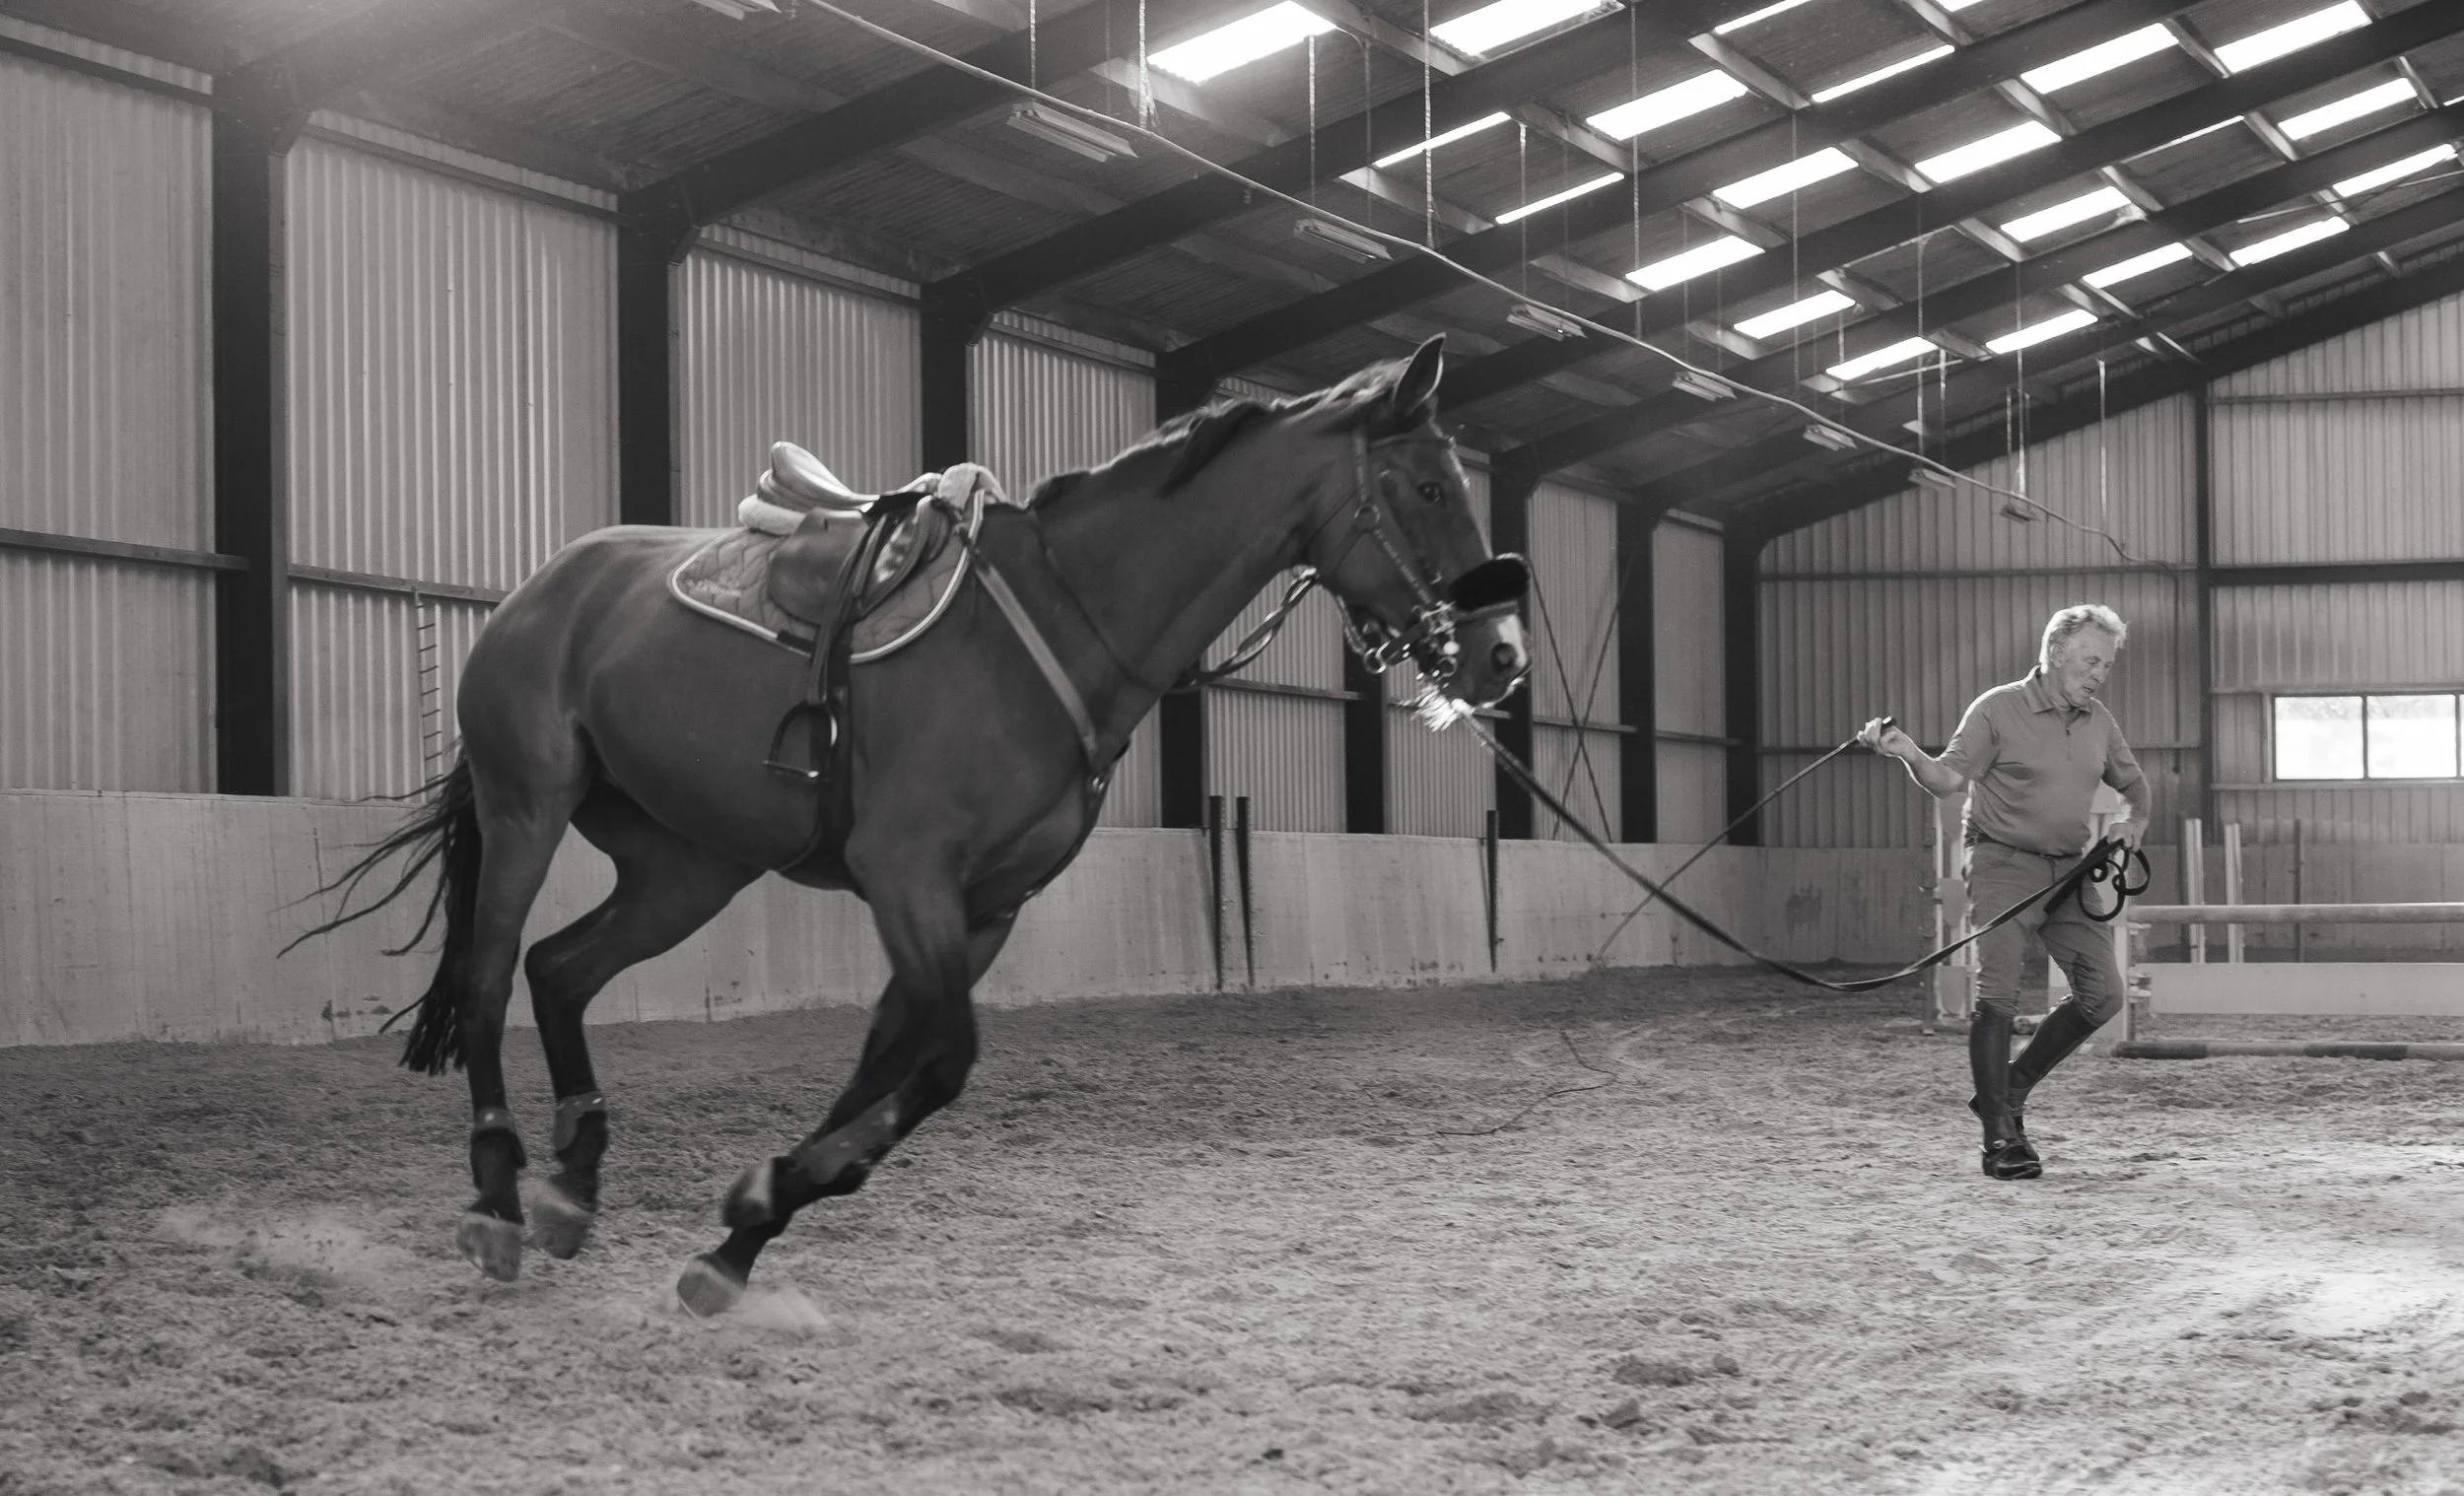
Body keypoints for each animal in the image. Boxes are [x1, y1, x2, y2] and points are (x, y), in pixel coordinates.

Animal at [300, 335, 1529, 1316]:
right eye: (1428, 486)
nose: (1501, 658)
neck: (1066, 621)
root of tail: (547, 587)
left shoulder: (982, 908)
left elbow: (883, 1075)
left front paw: (744, 1230)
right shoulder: (910, 879)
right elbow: (940, 1069)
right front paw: (762, 1205)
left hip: (686, 865)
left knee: (559, 970)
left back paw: (573, 1183)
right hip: (530, 806)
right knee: (492, 975)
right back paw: (500, 1198)